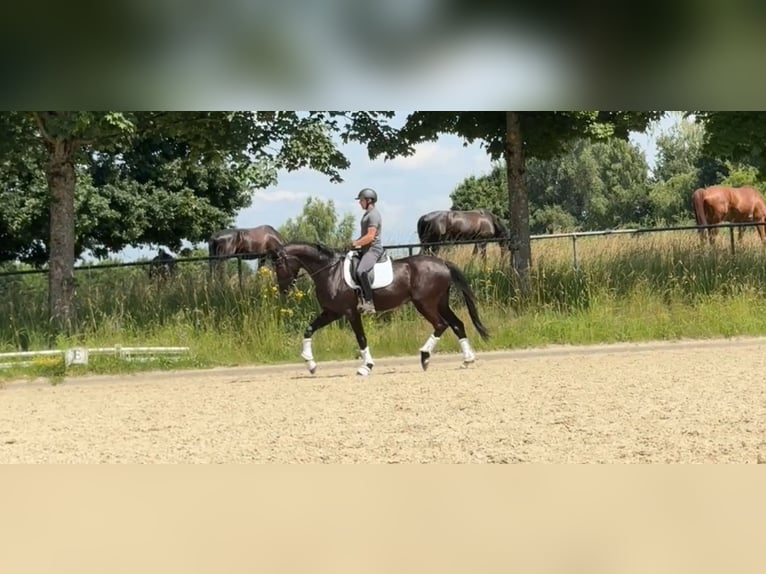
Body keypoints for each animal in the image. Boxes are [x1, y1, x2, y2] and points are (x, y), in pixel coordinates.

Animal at [271, 242, 490, 376]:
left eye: (278, 264)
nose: (283, 289)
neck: (330, 272)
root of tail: (442, 262)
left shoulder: (350, 313)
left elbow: (361, 338)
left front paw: (366, 367)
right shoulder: (331, 312)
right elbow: (309, 330)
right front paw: (310, 364)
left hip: (425, 304)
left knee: (441, 325)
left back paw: (425, 357)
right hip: (440, 302)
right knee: (457, 324)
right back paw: (467, 360)